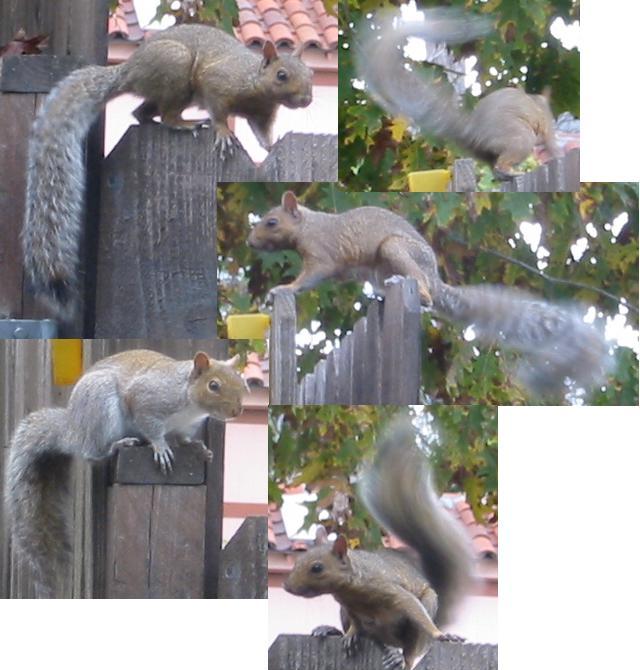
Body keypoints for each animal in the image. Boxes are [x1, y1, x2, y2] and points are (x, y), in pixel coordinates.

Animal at [4, 348, 246, 598]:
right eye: (213, 385)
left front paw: (199, 448)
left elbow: (184, 439)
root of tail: (73, 430)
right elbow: (150, 426)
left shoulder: (184, 427)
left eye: (242, 381)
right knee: (92, 453)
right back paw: (118, 444)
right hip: (100, 407)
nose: (237, 410)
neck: (190, 406)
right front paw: (160, 447)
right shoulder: (146, 400)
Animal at [22, 23, 313, 318]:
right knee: (167, 115)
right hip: (176, 70)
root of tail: (129, 69)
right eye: (281, 75)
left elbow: (263, 135)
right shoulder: (219, 83)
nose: (307, 100)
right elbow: (219, 111)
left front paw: (272, 145)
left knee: (142, 113)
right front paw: (222, 132)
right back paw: (186, 124)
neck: (256, 84)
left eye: (310, 74)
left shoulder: (262, 114)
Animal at [247, 192, 610, 397]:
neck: (308, 225)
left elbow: (309, 277)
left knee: (423, 289)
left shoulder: (322, 255)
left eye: (272, 222)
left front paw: (283, 288)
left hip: (396, 251)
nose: (250, 242)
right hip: (377, 270)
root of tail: (435, 278)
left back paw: (415, 291)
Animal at [284, 416, 473, 670]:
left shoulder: (389, 589)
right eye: (297, 562)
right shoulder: (349, 608)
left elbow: (413, 608)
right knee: (372, 637)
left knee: (411, 649)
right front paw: (351, 634)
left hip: (424, 612)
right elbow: (356, 625)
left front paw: (440, 634)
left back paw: (399, 655)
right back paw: (331, 631)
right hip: (348, 616)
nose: (287, 586)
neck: (352, 590)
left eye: (317, 568)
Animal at [355, 8, 561, 179]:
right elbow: (551, 142)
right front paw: (558, 154)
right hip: (520, 138)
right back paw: (512, 172)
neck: (539, 101)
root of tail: (473, 132)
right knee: (501, 163)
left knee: (494, 165)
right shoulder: (545, 122)